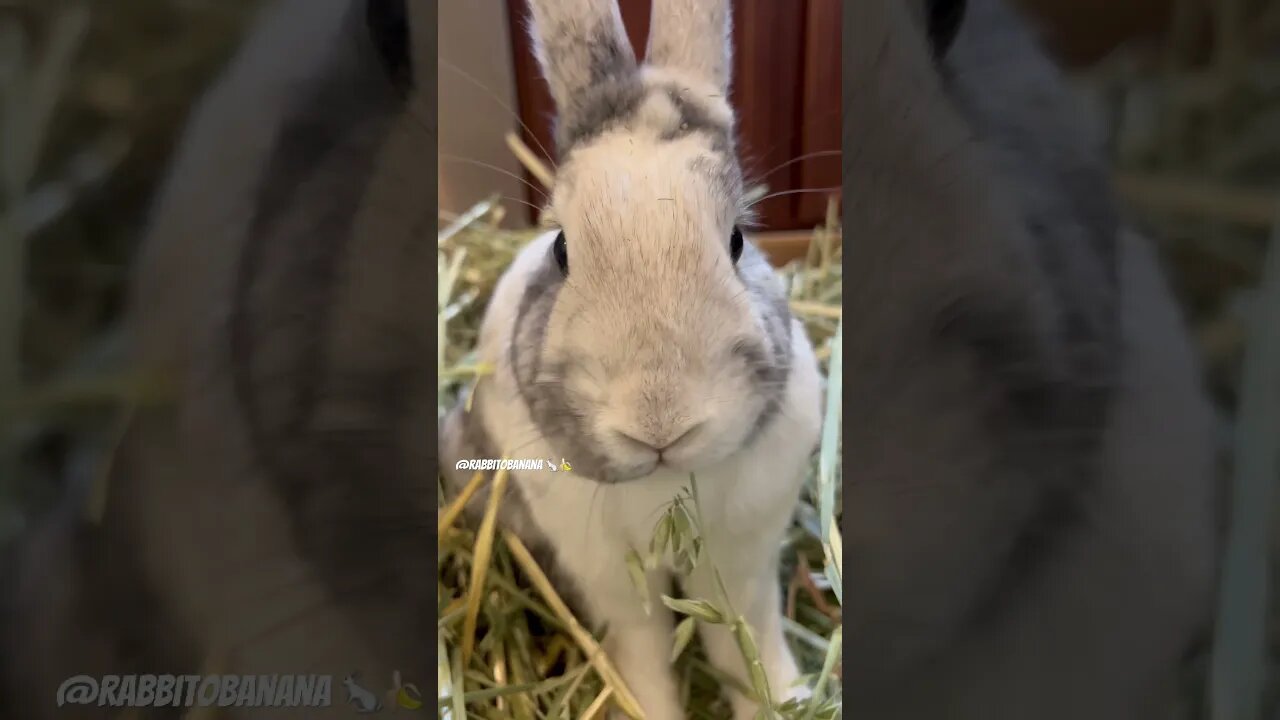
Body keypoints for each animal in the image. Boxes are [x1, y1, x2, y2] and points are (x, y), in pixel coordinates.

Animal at [437, 0, 819, 712]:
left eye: (737, 241)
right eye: (561, 248)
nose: (659, 423)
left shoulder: (742, 563)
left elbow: (746, 645)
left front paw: (786, 698)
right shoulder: (611, 579)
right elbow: (644, 659)